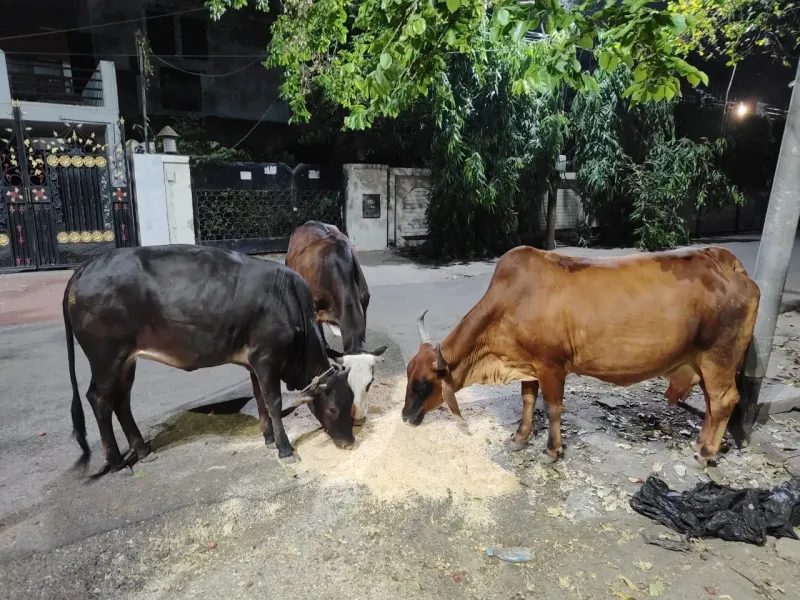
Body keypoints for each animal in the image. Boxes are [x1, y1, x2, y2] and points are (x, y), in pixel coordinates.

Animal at [64, 245, 357, 476]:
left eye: (352, 402)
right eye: (332, 409)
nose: (349, 442)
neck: (289, 305)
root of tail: (84, 268)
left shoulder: (254, 363)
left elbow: (259, 398)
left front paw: (269, 438)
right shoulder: (266, 358)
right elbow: (273, 402)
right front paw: (284, 449)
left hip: (126, 360)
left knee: (121, 400)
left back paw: (143, 451)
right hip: (106, 357)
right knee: (100, 400)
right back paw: (117, 464)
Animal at [402, 246, 759, 467]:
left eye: (422, 384)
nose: (405, 416)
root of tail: (723, 260)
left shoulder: (552, 367)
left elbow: (553, 408)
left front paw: (551, 450)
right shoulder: (529, 365)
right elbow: (527, 400)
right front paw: (519, 437)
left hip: (718, 358)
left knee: (725, 400)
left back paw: (704, 453)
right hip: (707, 362)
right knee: (712, 404)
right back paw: (700, 445)